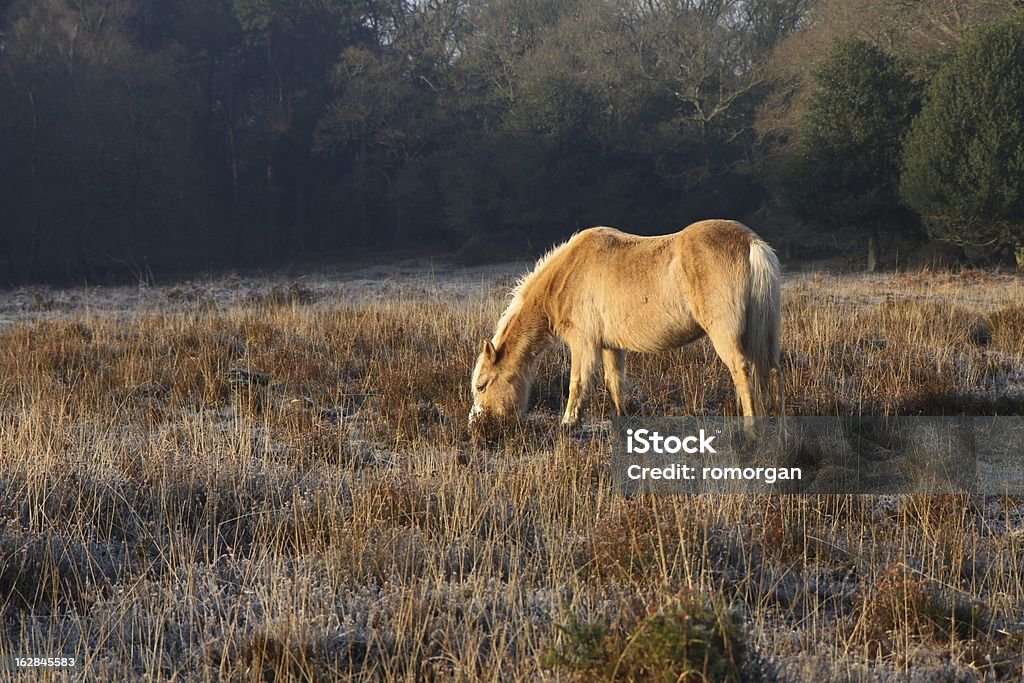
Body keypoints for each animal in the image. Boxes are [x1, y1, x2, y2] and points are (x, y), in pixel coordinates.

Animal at [471, 219, 782, 428]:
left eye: (482, 386)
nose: (478, 425)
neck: (568, 273)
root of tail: (751, 243)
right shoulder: (610, 345)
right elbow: (614, 382)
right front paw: (621, 417)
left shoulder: (584, 343)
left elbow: (577, 382)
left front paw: (569, 422)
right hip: (763, 335)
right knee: (769, 370)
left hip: (725, 335)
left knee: (741, 370)